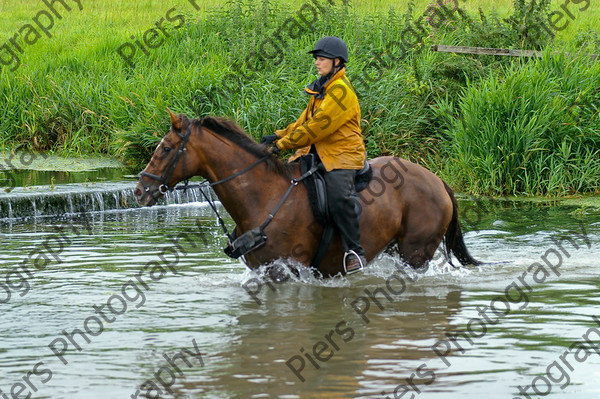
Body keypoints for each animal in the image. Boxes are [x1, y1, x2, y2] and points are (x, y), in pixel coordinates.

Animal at [134, 110, 480, 278]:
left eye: (165, 149)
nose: (140, 191)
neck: (263, 196)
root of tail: (437, 180)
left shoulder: (287, 271)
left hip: (415, 255)